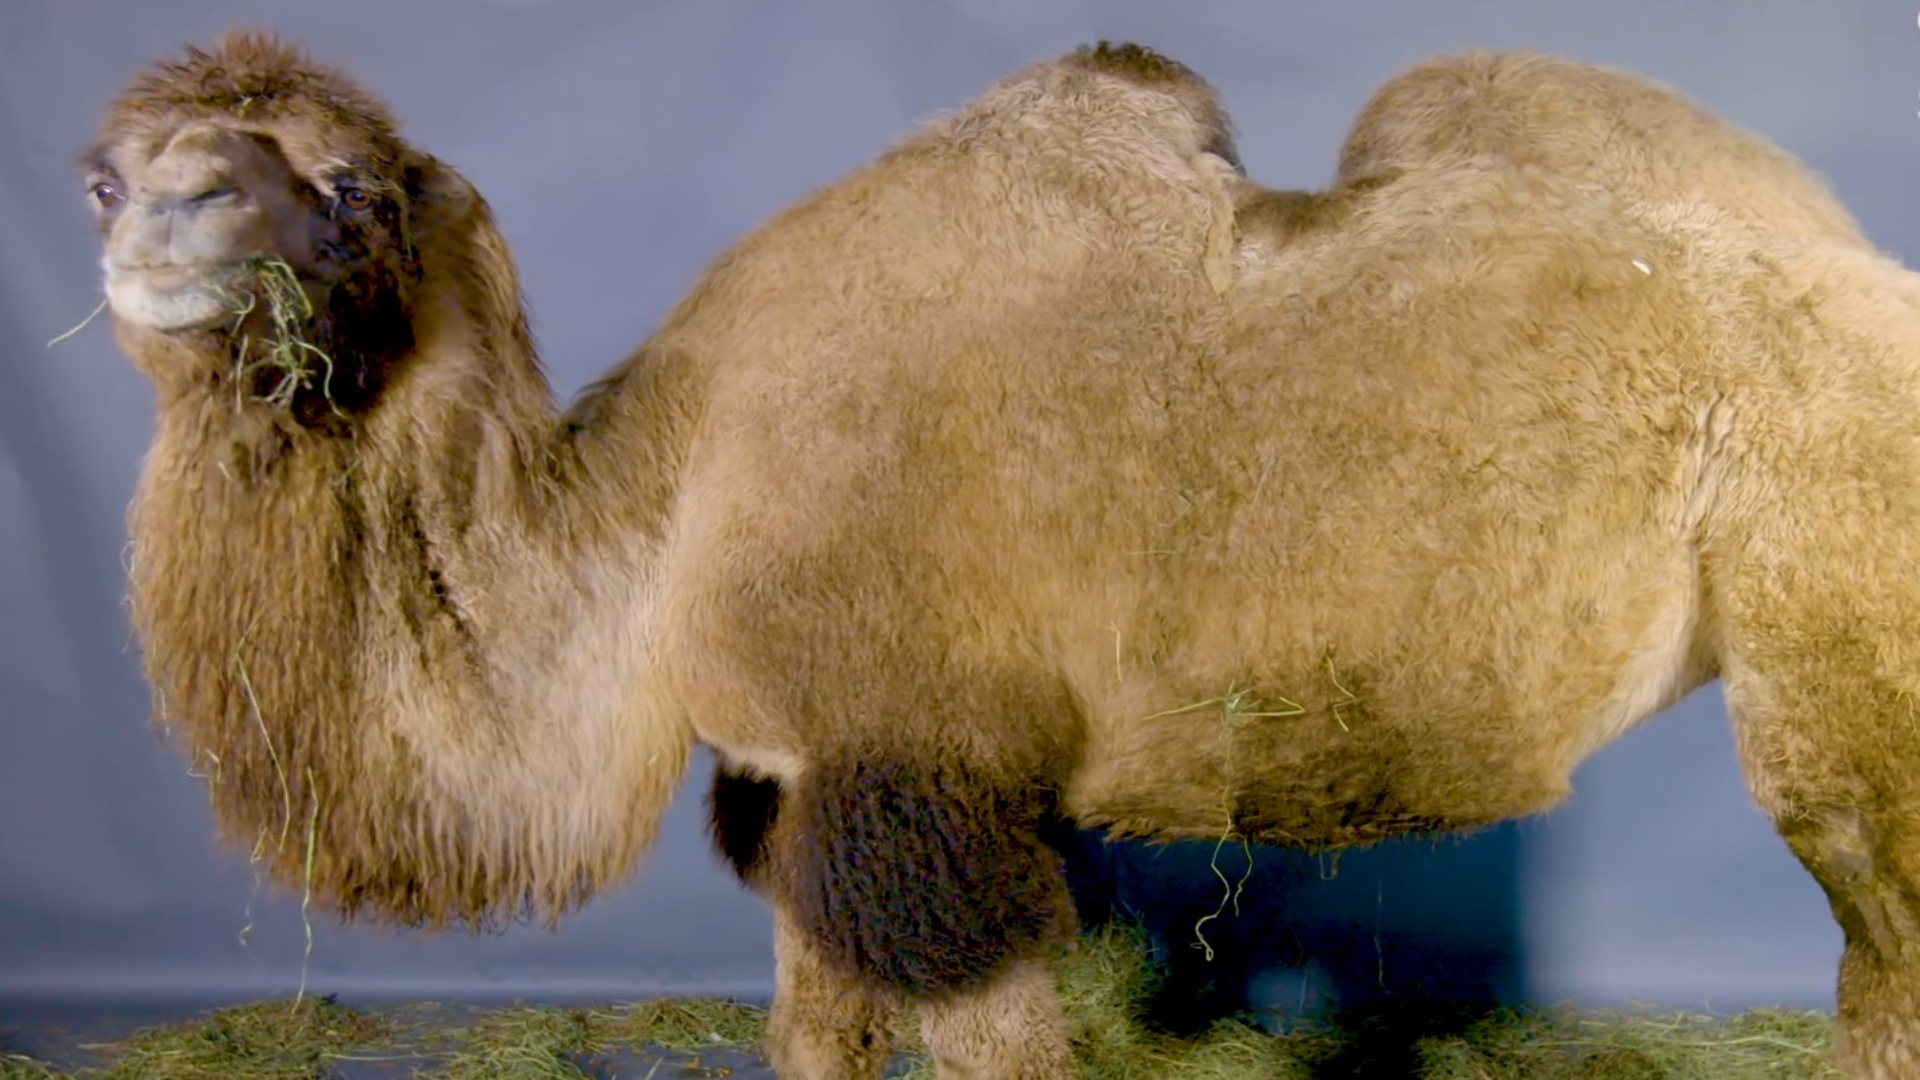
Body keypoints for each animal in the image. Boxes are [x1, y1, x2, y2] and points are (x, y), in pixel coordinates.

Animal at [77, 28, 1920, 1079]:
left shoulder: (926, 775)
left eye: (352, 186)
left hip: (1838, 629)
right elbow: (813, 1036)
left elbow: (994, 1049)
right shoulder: (796, 775)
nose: (166, 216)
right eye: (98, 172)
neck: (664, 503)